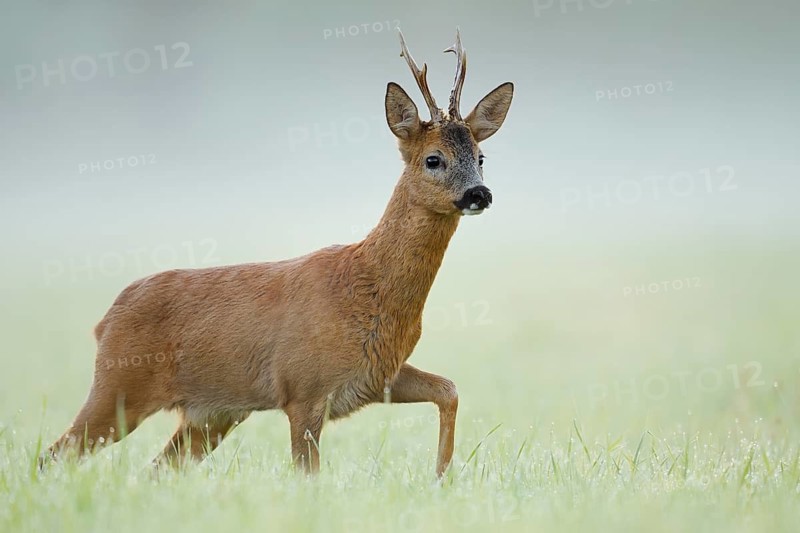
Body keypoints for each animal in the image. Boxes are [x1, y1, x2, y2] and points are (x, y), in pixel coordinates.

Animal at [44, 29, 513, 477]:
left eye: (481, 157)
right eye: (434, 159)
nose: (479, 193)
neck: (365, 285)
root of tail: (105, 321)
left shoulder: (378, 375)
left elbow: (449, 390)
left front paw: (441, 477)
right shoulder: (303, 388)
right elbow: (308, 476)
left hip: (211, 413)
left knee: (154, 469)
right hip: (120, 386)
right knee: (54, 454)